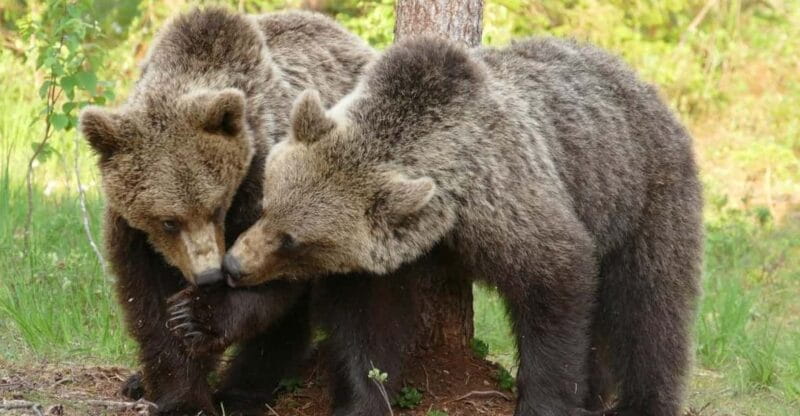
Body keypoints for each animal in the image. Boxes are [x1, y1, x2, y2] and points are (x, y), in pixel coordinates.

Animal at [78, 7, 375, 415]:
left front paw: (196, 318)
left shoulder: (268, 183)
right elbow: (148, 301)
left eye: (217, 208)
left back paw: (244, 389)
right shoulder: (133, 232)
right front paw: (180, 394)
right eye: (168, 221)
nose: (208, 276)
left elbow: (272, 277)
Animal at [208, 36, 703, 416]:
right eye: (266, 203)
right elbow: (368, 324)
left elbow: (556, 288)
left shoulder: (506, 205)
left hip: (643, 197)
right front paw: (362, 398)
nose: (234, 266)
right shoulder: (388, 255)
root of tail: (644, 86)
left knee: (650, 309)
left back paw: (644, 400)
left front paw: (544, 401)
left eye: (293, 241)